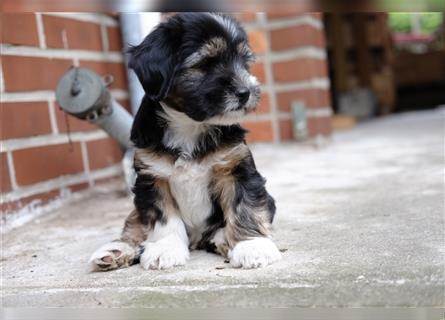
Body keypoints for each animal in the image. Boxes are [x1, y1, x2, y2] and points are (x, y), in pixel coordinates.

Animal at [88, 11, 280, 270]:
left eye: (244, 63)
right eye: (206, 63)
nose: (246, 92)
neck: (190, 125)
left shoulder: (236, 168)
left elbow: (244, 206)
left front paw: (252, 246)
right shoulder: (153, 178)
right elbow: (163, 218)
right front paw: (165, 249)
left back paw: (223, 238)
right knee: (134, 224)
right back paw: (116, 251)